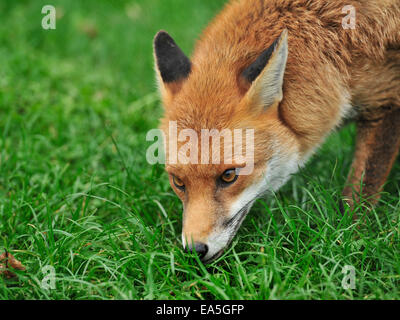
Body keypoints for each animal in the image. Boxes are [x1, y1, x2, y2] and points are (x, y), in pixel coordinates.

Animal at [151, 0, 400, 264]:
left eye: (229, 176)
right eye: (178, 182)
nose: (195, 251)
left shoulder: (386, 100)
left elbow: (358, 197)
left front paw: (350, 239)